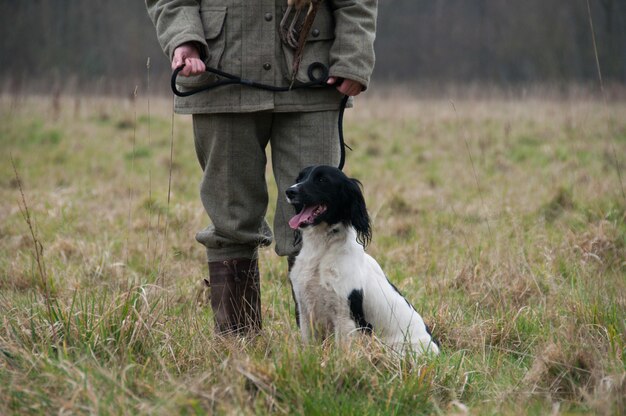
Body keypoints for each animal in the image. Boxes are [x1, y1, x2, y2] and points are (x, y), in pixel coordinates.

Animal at [286, 164, 436, 356]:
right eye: (299, 178)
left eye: (322, 180)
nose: (290, 191)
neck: (321, 251)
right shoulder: (305, 310)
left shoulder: (345, 316)